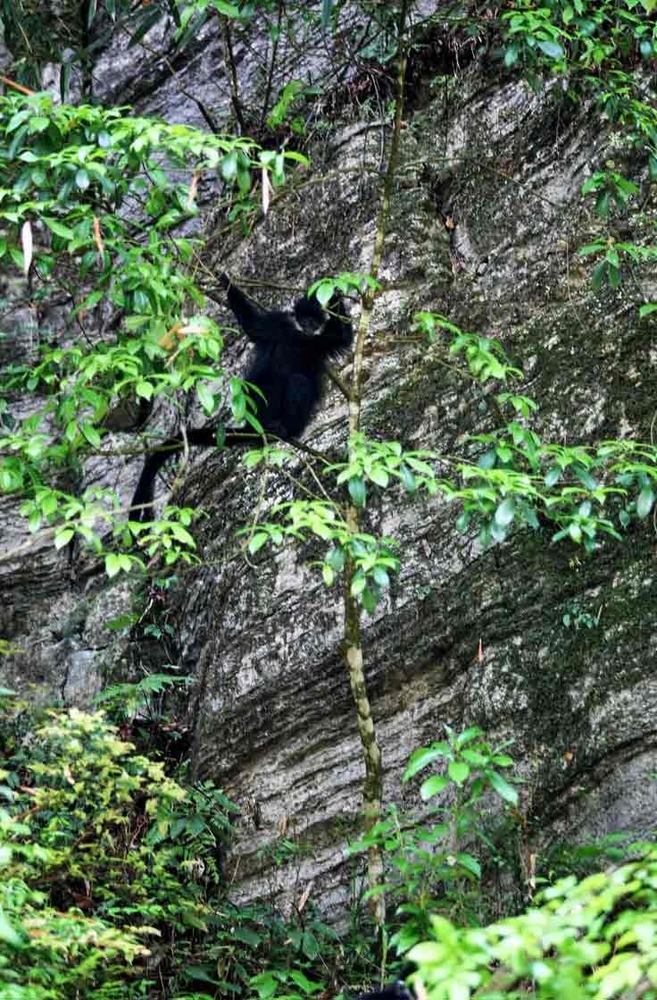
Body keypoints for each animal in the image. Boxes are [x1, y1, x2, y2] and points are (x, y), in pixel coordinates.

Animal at [129, 276, 354, 524]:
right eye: (304, 319)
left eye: (314, 321)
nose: (308, 327)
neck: (300, 337)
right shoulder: (279, 323)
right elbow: (253, 326)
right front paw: (223, 279)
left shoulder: (321, 340)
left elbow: (344, 337)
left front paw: (335, 296)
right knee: (266, 381)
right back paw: (270, 427)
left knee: (299, 382)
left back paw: (285, 430)